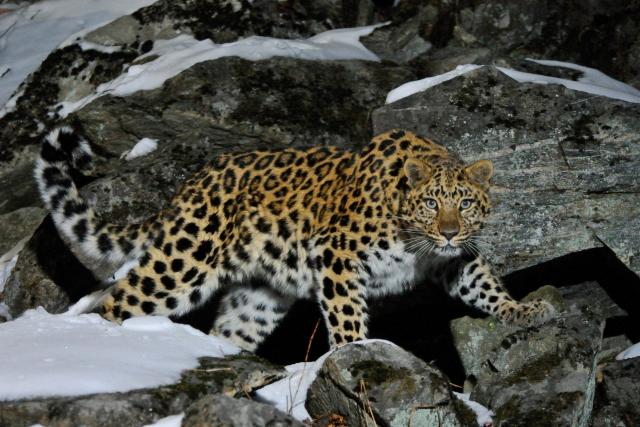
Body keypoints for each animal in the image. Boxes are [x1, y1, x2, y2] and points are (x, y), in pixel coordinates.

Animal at [35, 127, 555, 351]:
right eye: (431, 203)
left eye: (464, 204)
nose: (447, 231)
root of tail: (187, 187)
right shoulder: (337, 254)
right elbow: (346, 315)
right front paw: (355, 352)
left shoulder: (454, 260)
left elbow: (484, 285)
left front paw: (524, 309)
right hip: (183, 264)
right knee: (117, 299)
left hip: (258, 298)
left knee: (229, 331)